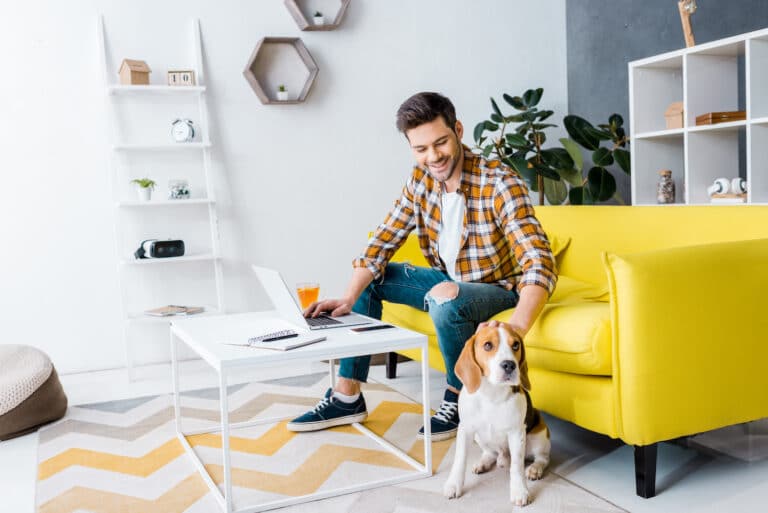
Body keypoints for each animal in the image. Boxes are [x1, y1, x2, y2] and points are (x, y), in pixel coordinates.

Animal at [440, 324, 548, 504]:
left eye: (516, 345)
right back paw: (483, 463)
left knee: (542, 458)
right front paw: (453, 485)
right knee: (490, 453)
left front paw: (519, 491)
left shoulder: (516, 433)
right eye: (488, 345)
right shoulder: (465, 429)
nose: (509, 365)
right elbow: (460, 460)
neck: (492, 393)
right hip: (479, 437)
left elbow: (517, 466)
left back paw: (534, 469)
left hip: (539, 434)